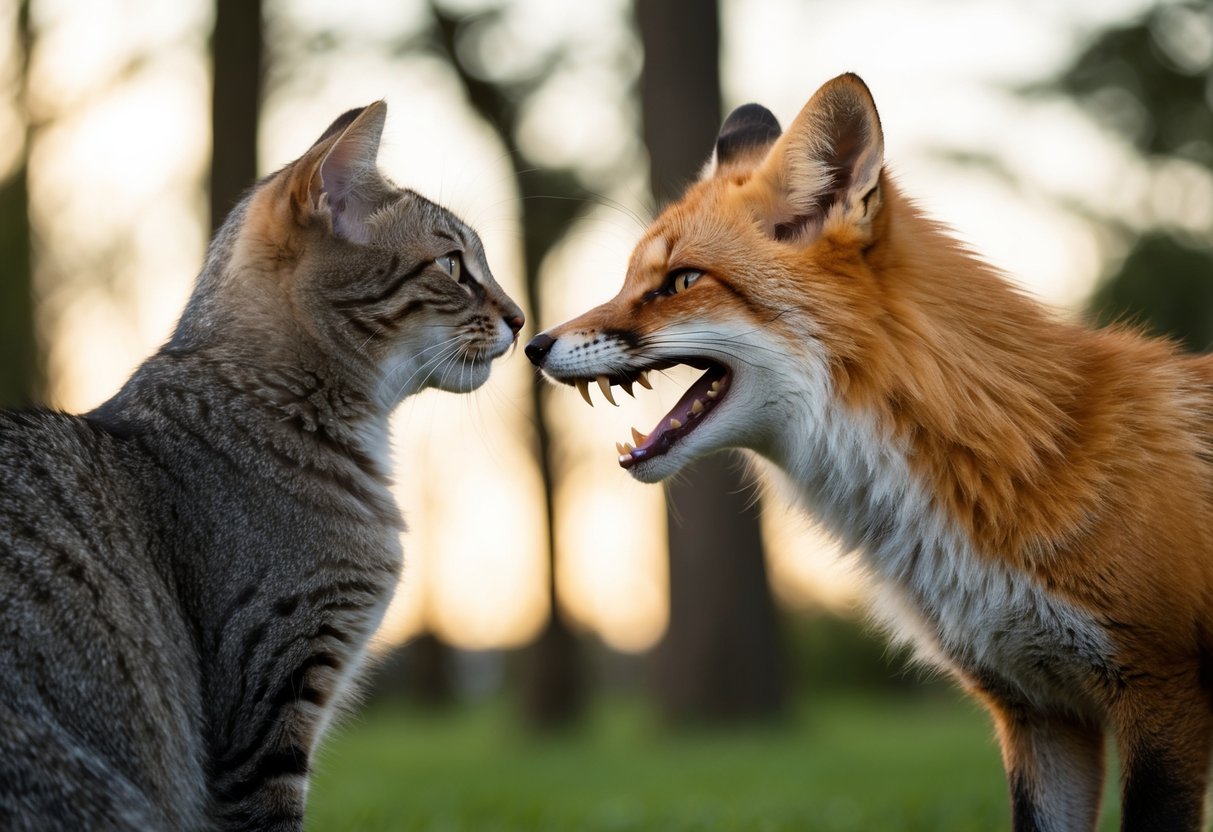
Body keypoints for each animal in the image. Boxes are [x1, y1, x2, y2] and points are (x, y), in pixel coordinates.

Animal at [524, 73, 1213, 831]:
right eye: (625, 280)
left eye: (679, 282)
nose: (531, 342)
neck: (1019, 455)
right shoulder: (1038, 711)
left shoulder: (1158, 691)